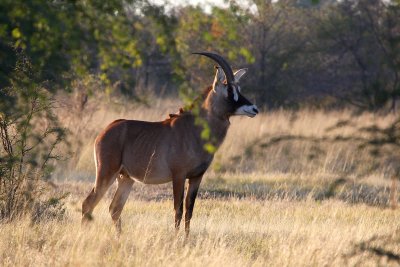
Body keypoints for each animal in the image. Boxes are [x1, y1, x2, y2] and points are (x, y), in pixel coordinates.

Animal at [83, 52, 260, 237]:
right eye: (229, 90)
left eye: (239, 89)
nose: (254, 109)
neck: (194, 129)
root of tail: (103, 132)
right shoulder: (179, 176)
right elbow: (178, 210)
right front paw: (176, 239)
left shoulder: (196, 177)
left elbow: (190, 210)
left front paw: (186, 238)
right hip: (106, 173)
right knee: (88, 204)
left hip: (125, 178)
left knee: (115, 208)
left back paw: (119, 237)